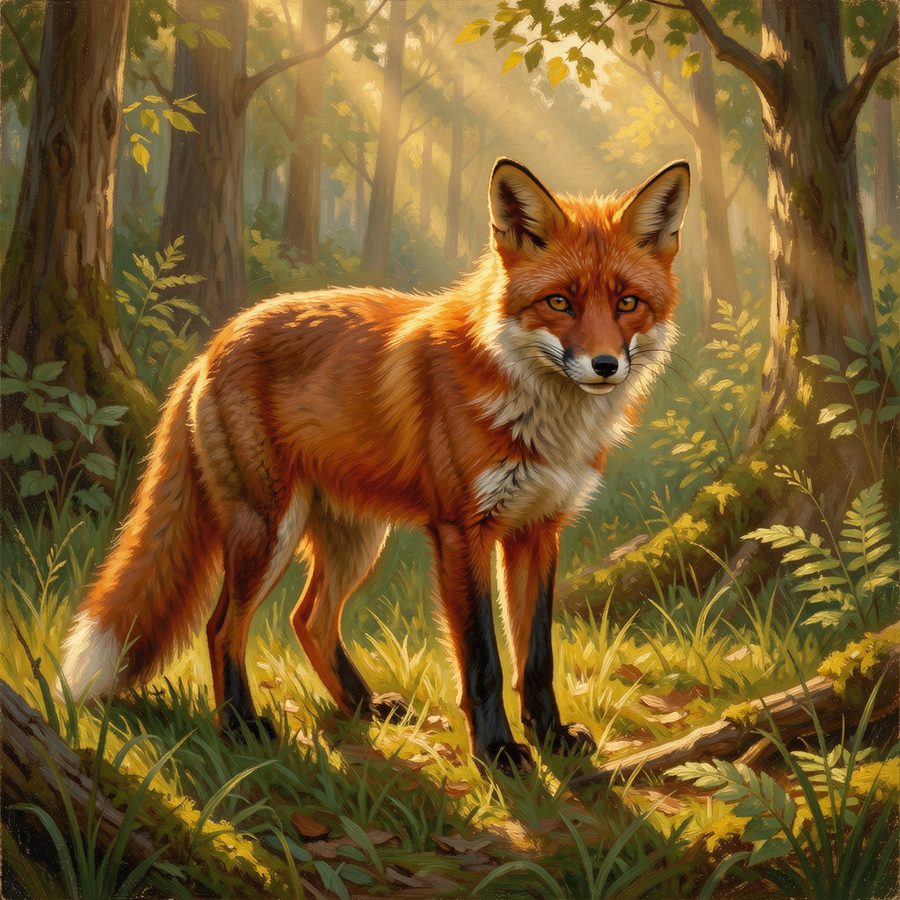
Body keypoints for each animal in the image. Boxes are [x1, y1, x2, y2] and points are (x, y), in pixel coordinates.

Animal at [60, 158, 689, 772]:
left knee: (308, 619)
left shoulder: (538, 529)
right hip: (268, 529)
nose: (605, 365)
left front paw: (552, 738)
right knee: (222, 628)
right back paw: (240, 725)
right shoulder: (462, 531)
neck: (542, 418)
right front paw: (496, 751)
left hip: (358, 539)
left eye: (627, 303)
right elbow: (482, 660)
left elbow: (535, 658)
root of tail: (213, 345)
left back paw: (363, 707)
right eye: (560, 302)